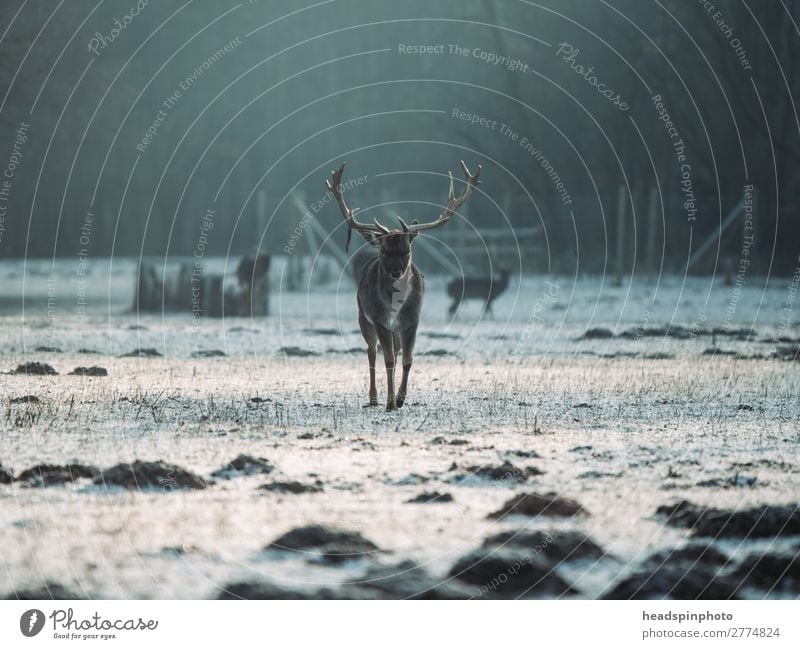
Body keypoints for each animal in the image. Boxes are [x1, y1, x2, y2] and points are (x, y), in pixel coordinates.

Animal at [326, 159, 482, 408]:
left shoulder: (412, 321)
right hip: (363, 318)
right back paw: (373, 398)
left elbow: (407, 360)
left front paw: (400, 398)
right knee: (372, 352)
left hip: (395, 329)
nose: (395, 270)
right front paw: (390, 402)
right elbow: (388, 360)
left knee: (395, 352)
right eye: (383, 250)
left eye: (407, 250)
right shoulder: (380, 321)